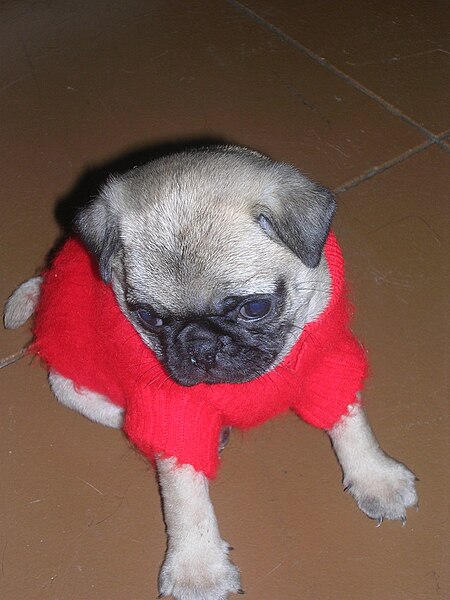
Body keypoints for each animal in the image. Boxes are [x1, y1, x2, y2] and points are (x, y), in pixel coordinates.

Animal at [4, 146, 418, 600]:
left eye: (254, 308)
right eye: (148, 317)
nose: (199, 344)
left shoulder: (327, 361)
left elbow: (350, 420)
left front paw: (374, 478)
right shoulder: (174, 410)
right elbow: (186, 498)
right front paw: (197, 569)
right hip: (72, 376)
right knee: (102, 407)